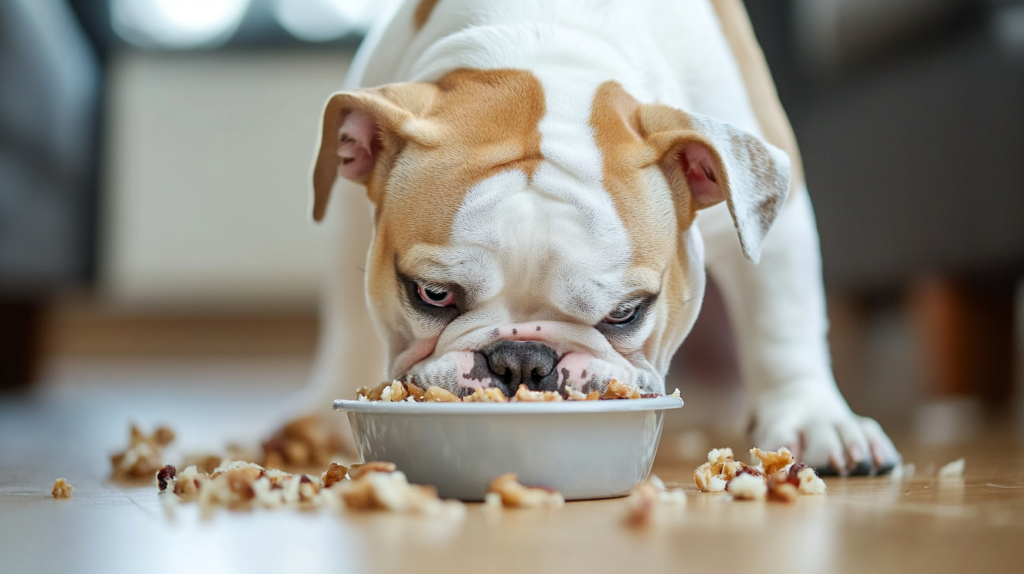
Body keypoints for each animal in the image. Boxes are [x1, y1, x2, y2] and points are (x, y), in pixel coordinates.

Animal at [299, 0, 901, 474]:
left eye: (625, 313)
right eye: (432, 294)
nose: (521, 359)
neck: (546, 49)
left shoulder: (772, 203)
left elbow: (783, 319)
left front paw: (816, 421)